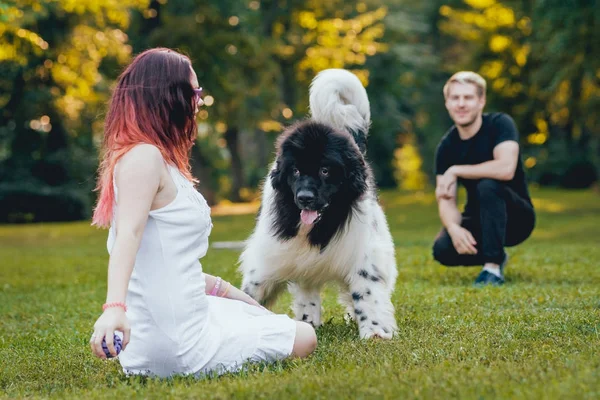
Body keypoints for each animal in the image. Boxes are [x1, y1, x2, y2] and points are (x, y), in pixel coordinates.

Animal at [239, 70, 398, 340]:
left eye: (325, 170)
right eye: (295, 170)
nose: (304, 197)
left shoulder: (364, 250)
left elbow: (367, 291)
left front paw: (375, 331)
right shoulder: (272, 253)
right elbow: (252, 290)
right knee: (306, 286)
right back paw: (308, 321)